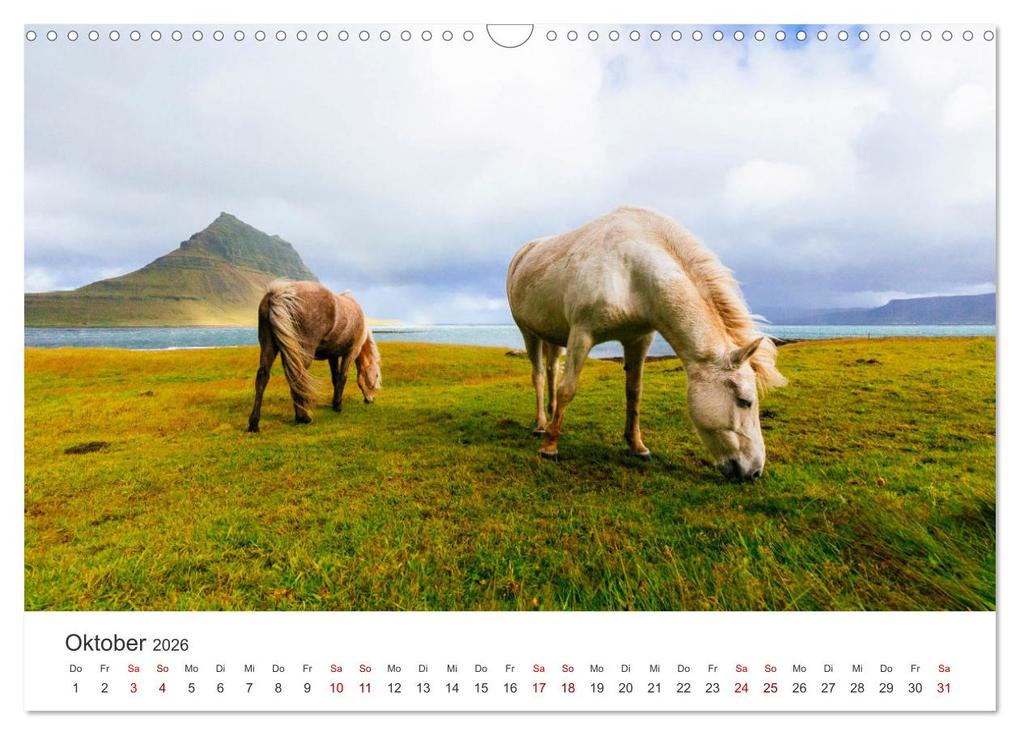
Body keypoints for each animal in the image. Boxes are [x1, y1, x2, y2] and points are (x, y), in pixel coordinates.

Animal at [247, 280, 381, 432]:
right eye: (376, 376)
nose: (371, 399)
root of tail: (279, 294)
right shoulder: (351, 352)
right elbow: (343, 377)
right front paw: (338, 405)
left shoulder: (333, 356)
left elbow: (335, 378)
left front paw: (334, 403)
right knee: (297, 377)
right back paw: (302, 417)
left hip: (269, 346)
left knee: (263, 376)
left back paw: (254, 423)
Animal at [506, 206, 786, 482]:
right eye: (745, 401)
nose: (755, 472)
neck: (631, 271)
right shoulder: (581, 335)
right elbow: (568, 389)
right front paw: (550, 447)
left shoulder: (638, 340)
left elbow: (634, 393)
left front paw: (637, 446)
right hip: (529, 333)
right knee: (539, 376)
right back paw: (541, 425)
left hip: (554, 337)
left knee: (552, 371)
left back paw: (551, 417)